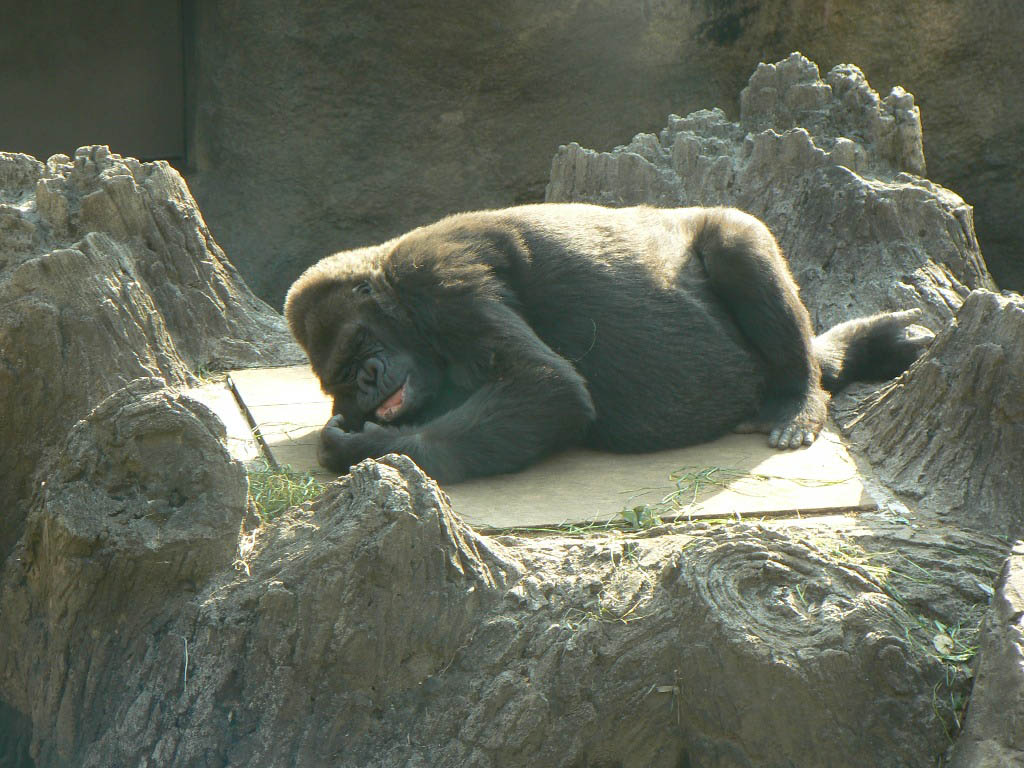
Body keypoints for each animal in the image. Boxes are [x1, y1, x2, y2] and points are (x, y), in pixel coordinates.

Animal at [282, 202, 929, 481]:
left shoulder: (441, 280)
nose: (370, 381)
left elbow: (546, 389)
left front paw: (356, 449)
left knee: (736, 240)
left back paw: (800, 395)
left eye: (363, 348)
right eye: (344, 374)